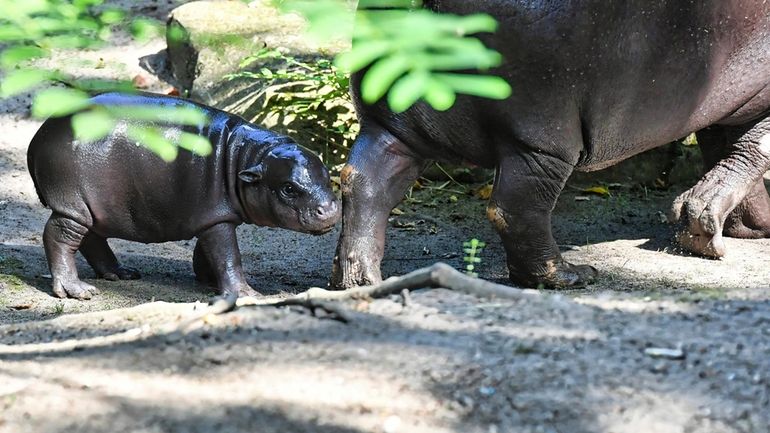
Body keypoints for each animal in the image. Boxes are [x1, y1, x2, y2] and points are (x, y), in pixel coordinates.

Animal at [27, 93, 340, 298]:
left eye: (328, 175)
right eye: (288, 188)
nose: (329, 209)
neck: (247, 156)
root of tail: (39, 135)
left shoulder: (213, 216)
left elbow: (210, 252)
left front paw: (209, 281)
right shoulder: (217, 219)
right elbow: (229, 256)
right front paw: (248, 294)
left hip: (93, 207)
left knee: (91, 237)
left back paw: (121, 273)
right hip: (73, 205)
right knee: (59, 236)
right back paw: (77, 291)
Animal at [332, 2, 768, 290]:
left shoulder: (728, 105)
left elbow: (729, 152)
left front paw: (743, 226)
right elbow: (752, 150)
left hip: (391, 124)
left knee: (364, 181)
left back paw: (357, 281)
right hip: (542, 142)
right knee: (514, 208)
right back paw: (570, 276)